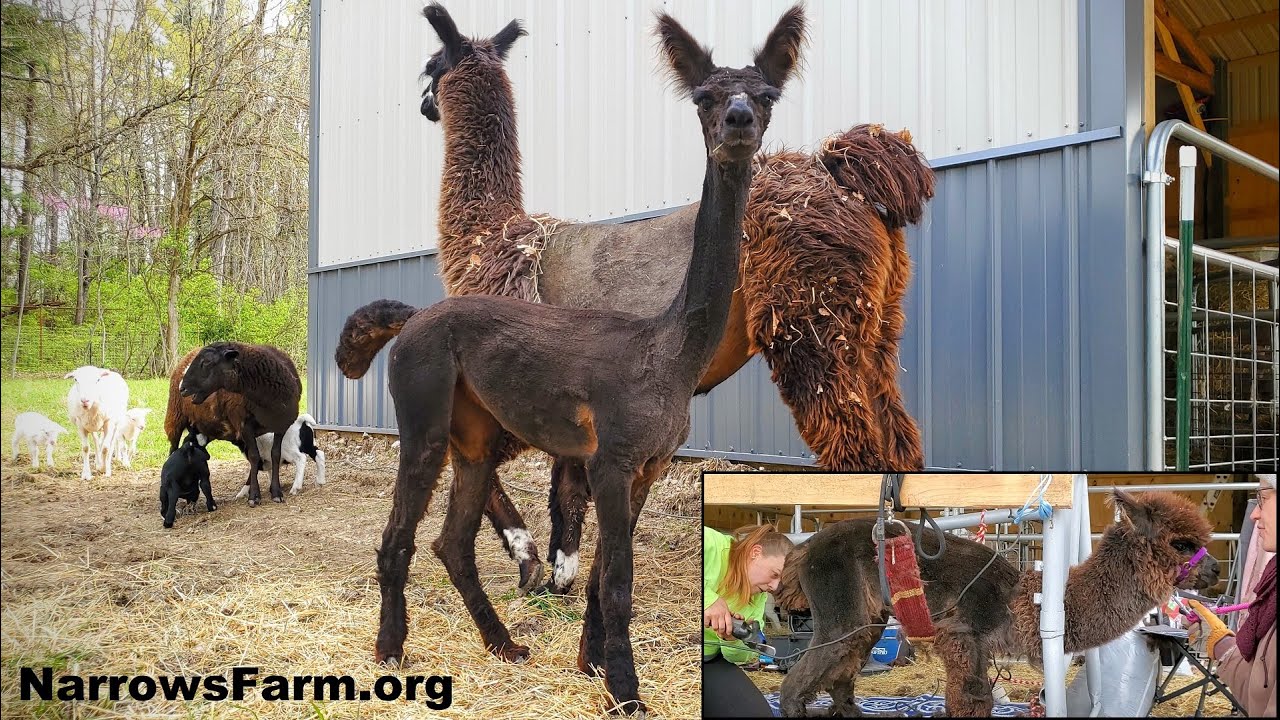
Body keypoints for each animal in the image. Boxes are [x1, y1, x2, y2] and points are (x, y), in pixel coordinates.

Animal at [178, 342, 301, 506]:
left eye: (206, 362)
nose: (182, 388)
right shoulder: (245, 426)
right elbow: (254, 457)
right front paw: (254, 496)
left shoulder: (281, 426)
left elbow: (275, 454)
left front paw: (276, 492)